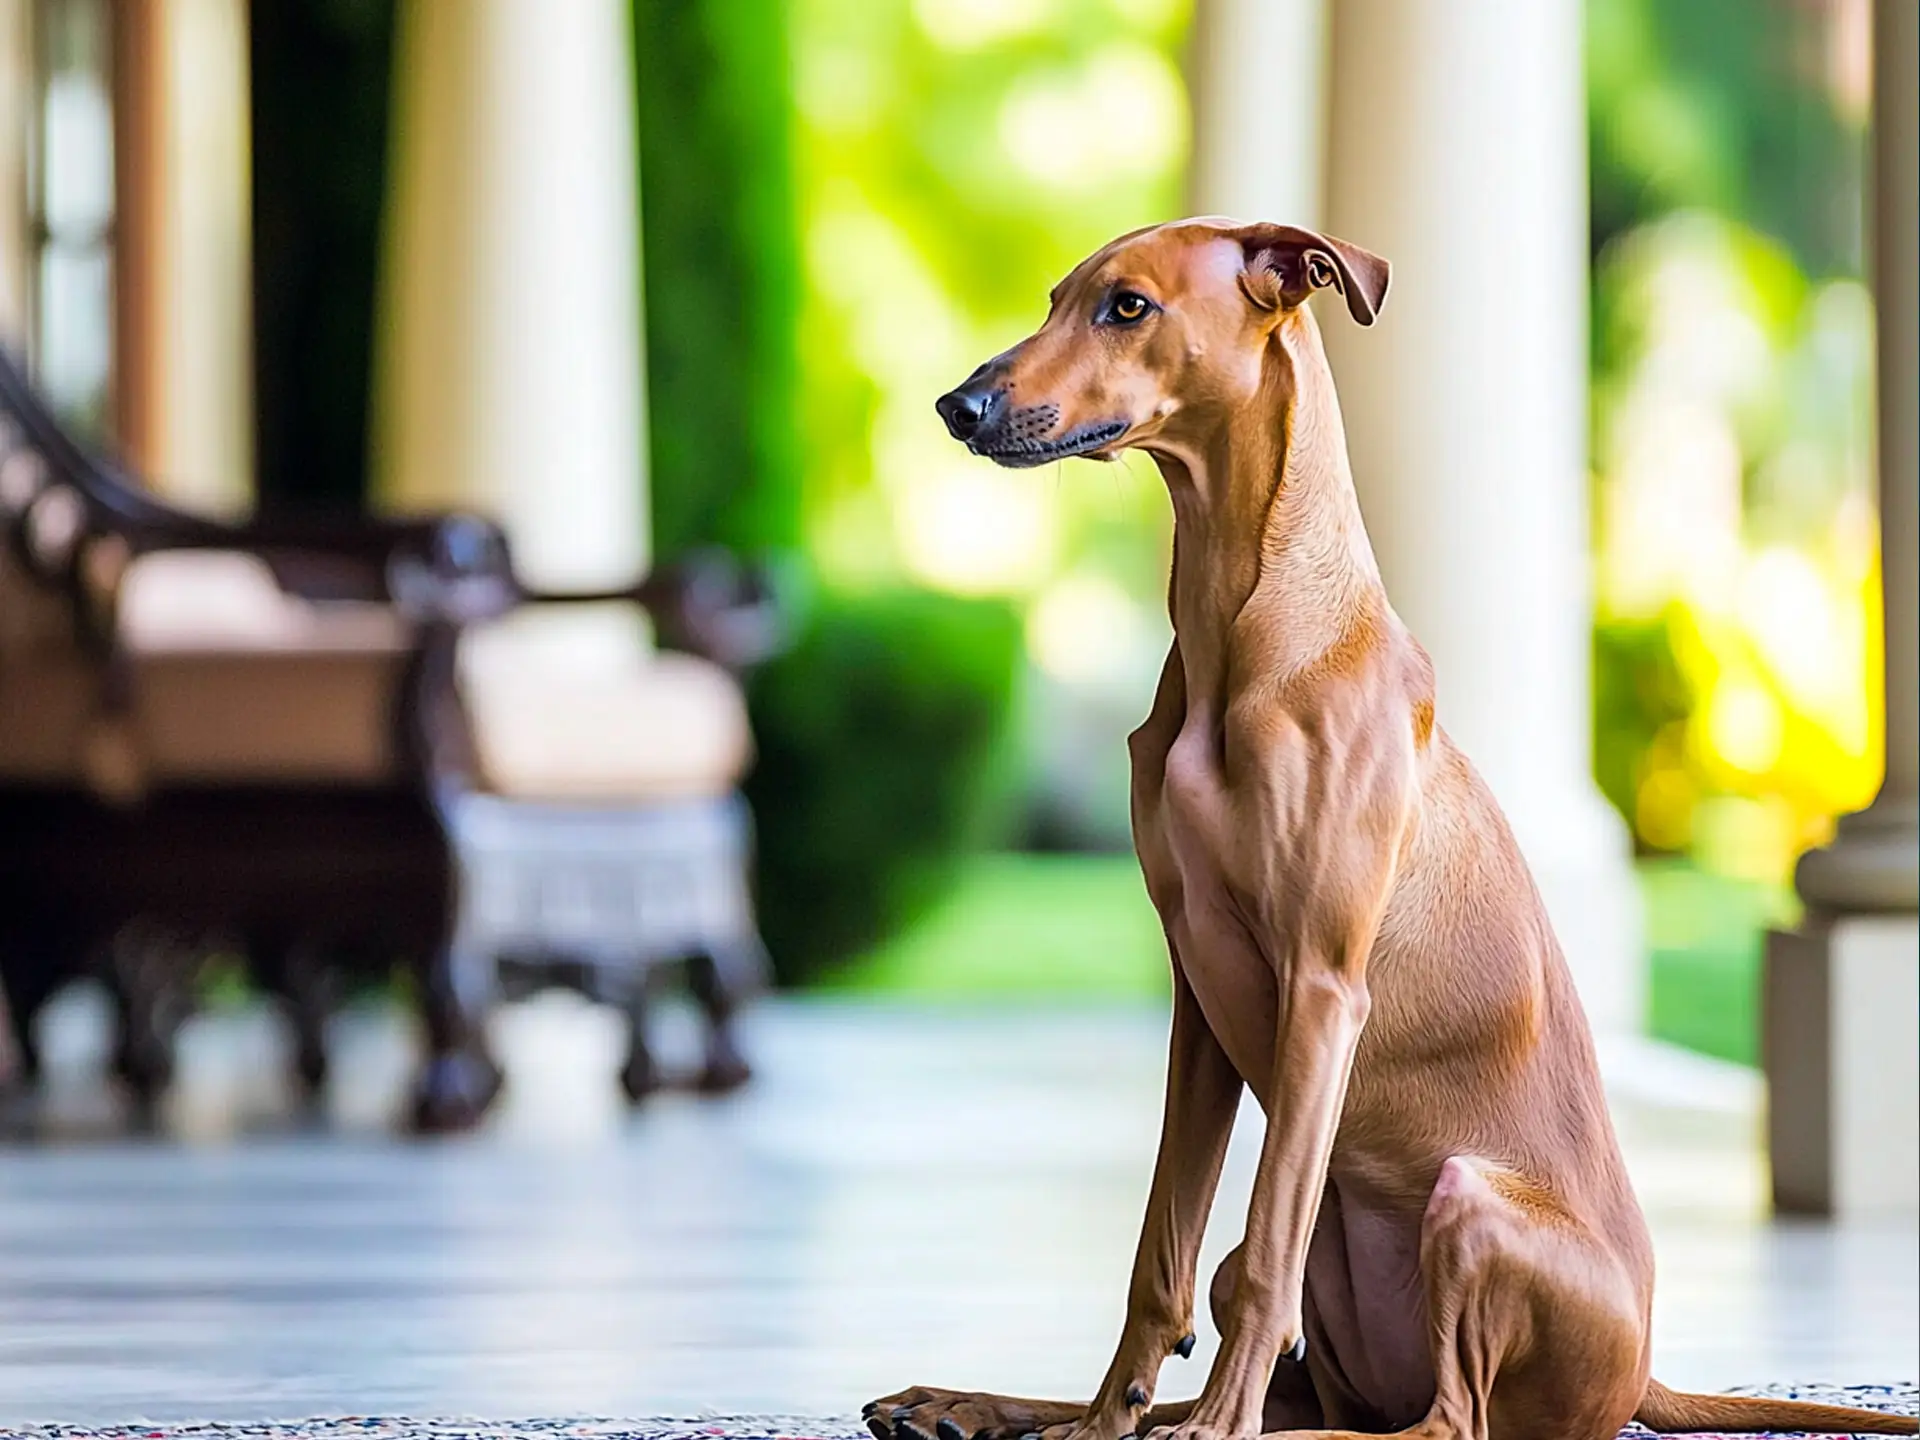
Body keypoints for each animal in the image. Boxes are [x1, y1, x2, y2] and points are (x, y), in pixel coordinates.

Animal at [871, 216, 1920, 1440]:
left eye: (1127, 307)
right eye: (1055, 300)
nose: (958, 405)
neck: (1252, 628)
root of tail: (1646, 1368)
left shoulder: (1323, 989)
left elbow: (1265, 1258)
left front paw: (1197, 1429)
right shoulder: (1199, 1005)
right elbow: (1158, 1258)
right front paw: (1102, 1420)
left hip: (1467, 1203)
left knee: (1439, 1419)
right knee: (1297, 1353)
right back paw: (980, 1402)